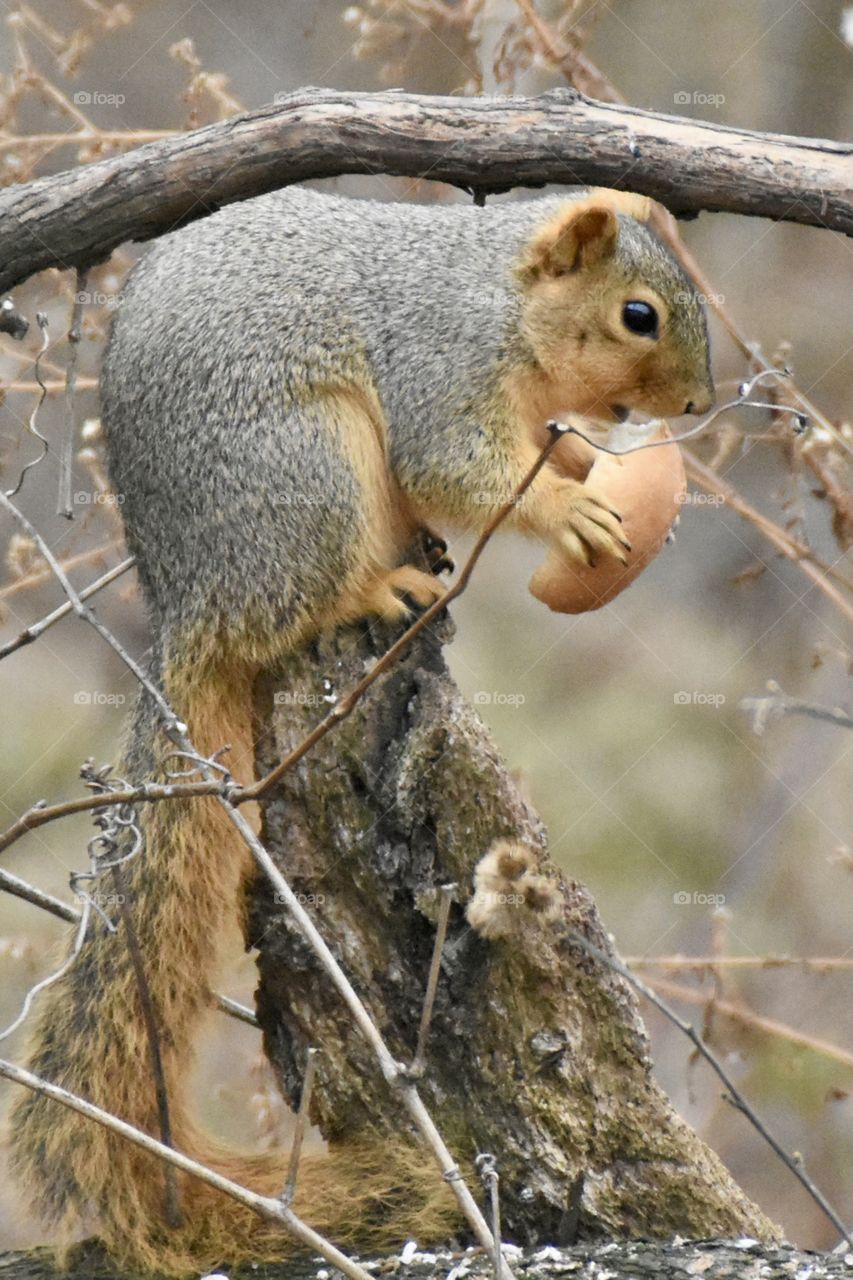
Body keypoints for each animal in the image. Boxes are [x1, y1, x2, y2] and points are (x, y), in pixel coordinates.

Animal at [11, 185, 713, 1275]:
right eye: (638, 315)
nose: (688, 406)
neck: (502, 302)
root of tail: (187, 604)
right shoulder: (440, 367)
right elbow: (457, 469)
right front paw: (572, 512)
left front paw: (579, 461)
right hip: (309, 473)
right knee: (299, 603)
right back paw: (382, 587)